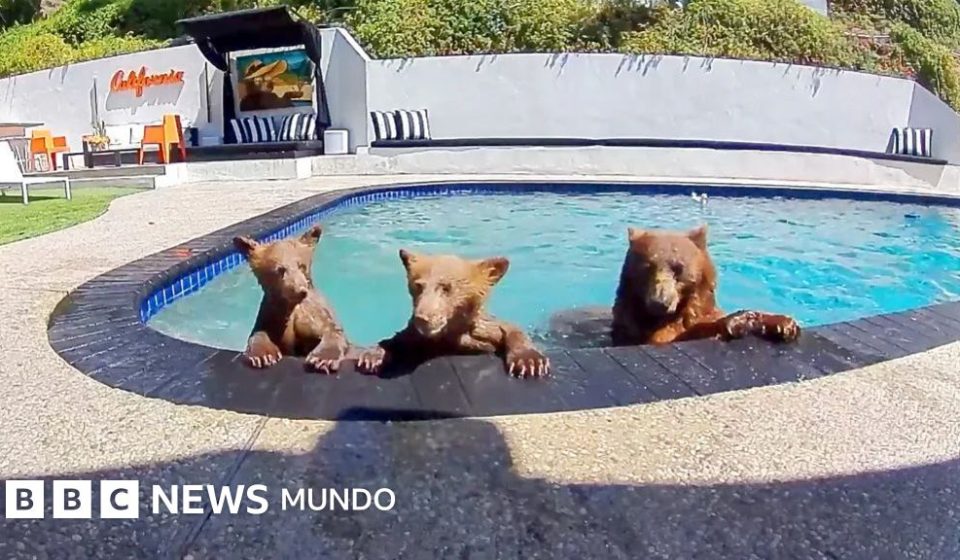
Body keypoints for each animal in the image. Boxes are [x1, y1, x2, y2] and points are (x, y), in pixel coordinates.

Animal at [232, 224, 351, 373]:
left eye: (301, 265)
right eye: (280, 269)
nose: (300, 290)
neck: (291, 305)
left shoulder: (314, 311)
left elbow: (331, 330)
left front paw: (323, 359)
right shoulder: (271, 314)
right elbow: (259, 332)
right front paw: (264, 355)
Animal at [355, 249, 550, 378]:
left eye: (446, 287)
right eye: (418, 286)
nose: (422, 318)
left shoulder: (481, 329)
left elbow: (508, 328)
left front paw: (530, 361)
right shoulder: (419, 335)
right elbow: (399, 338)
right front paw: (373, 355)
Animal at [611, 225, 801, 345]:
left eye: (678, 268)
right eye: (647, 267)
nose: (660, 302)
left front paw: (784, 324)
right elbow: (669, 337)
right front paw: (737, 321)